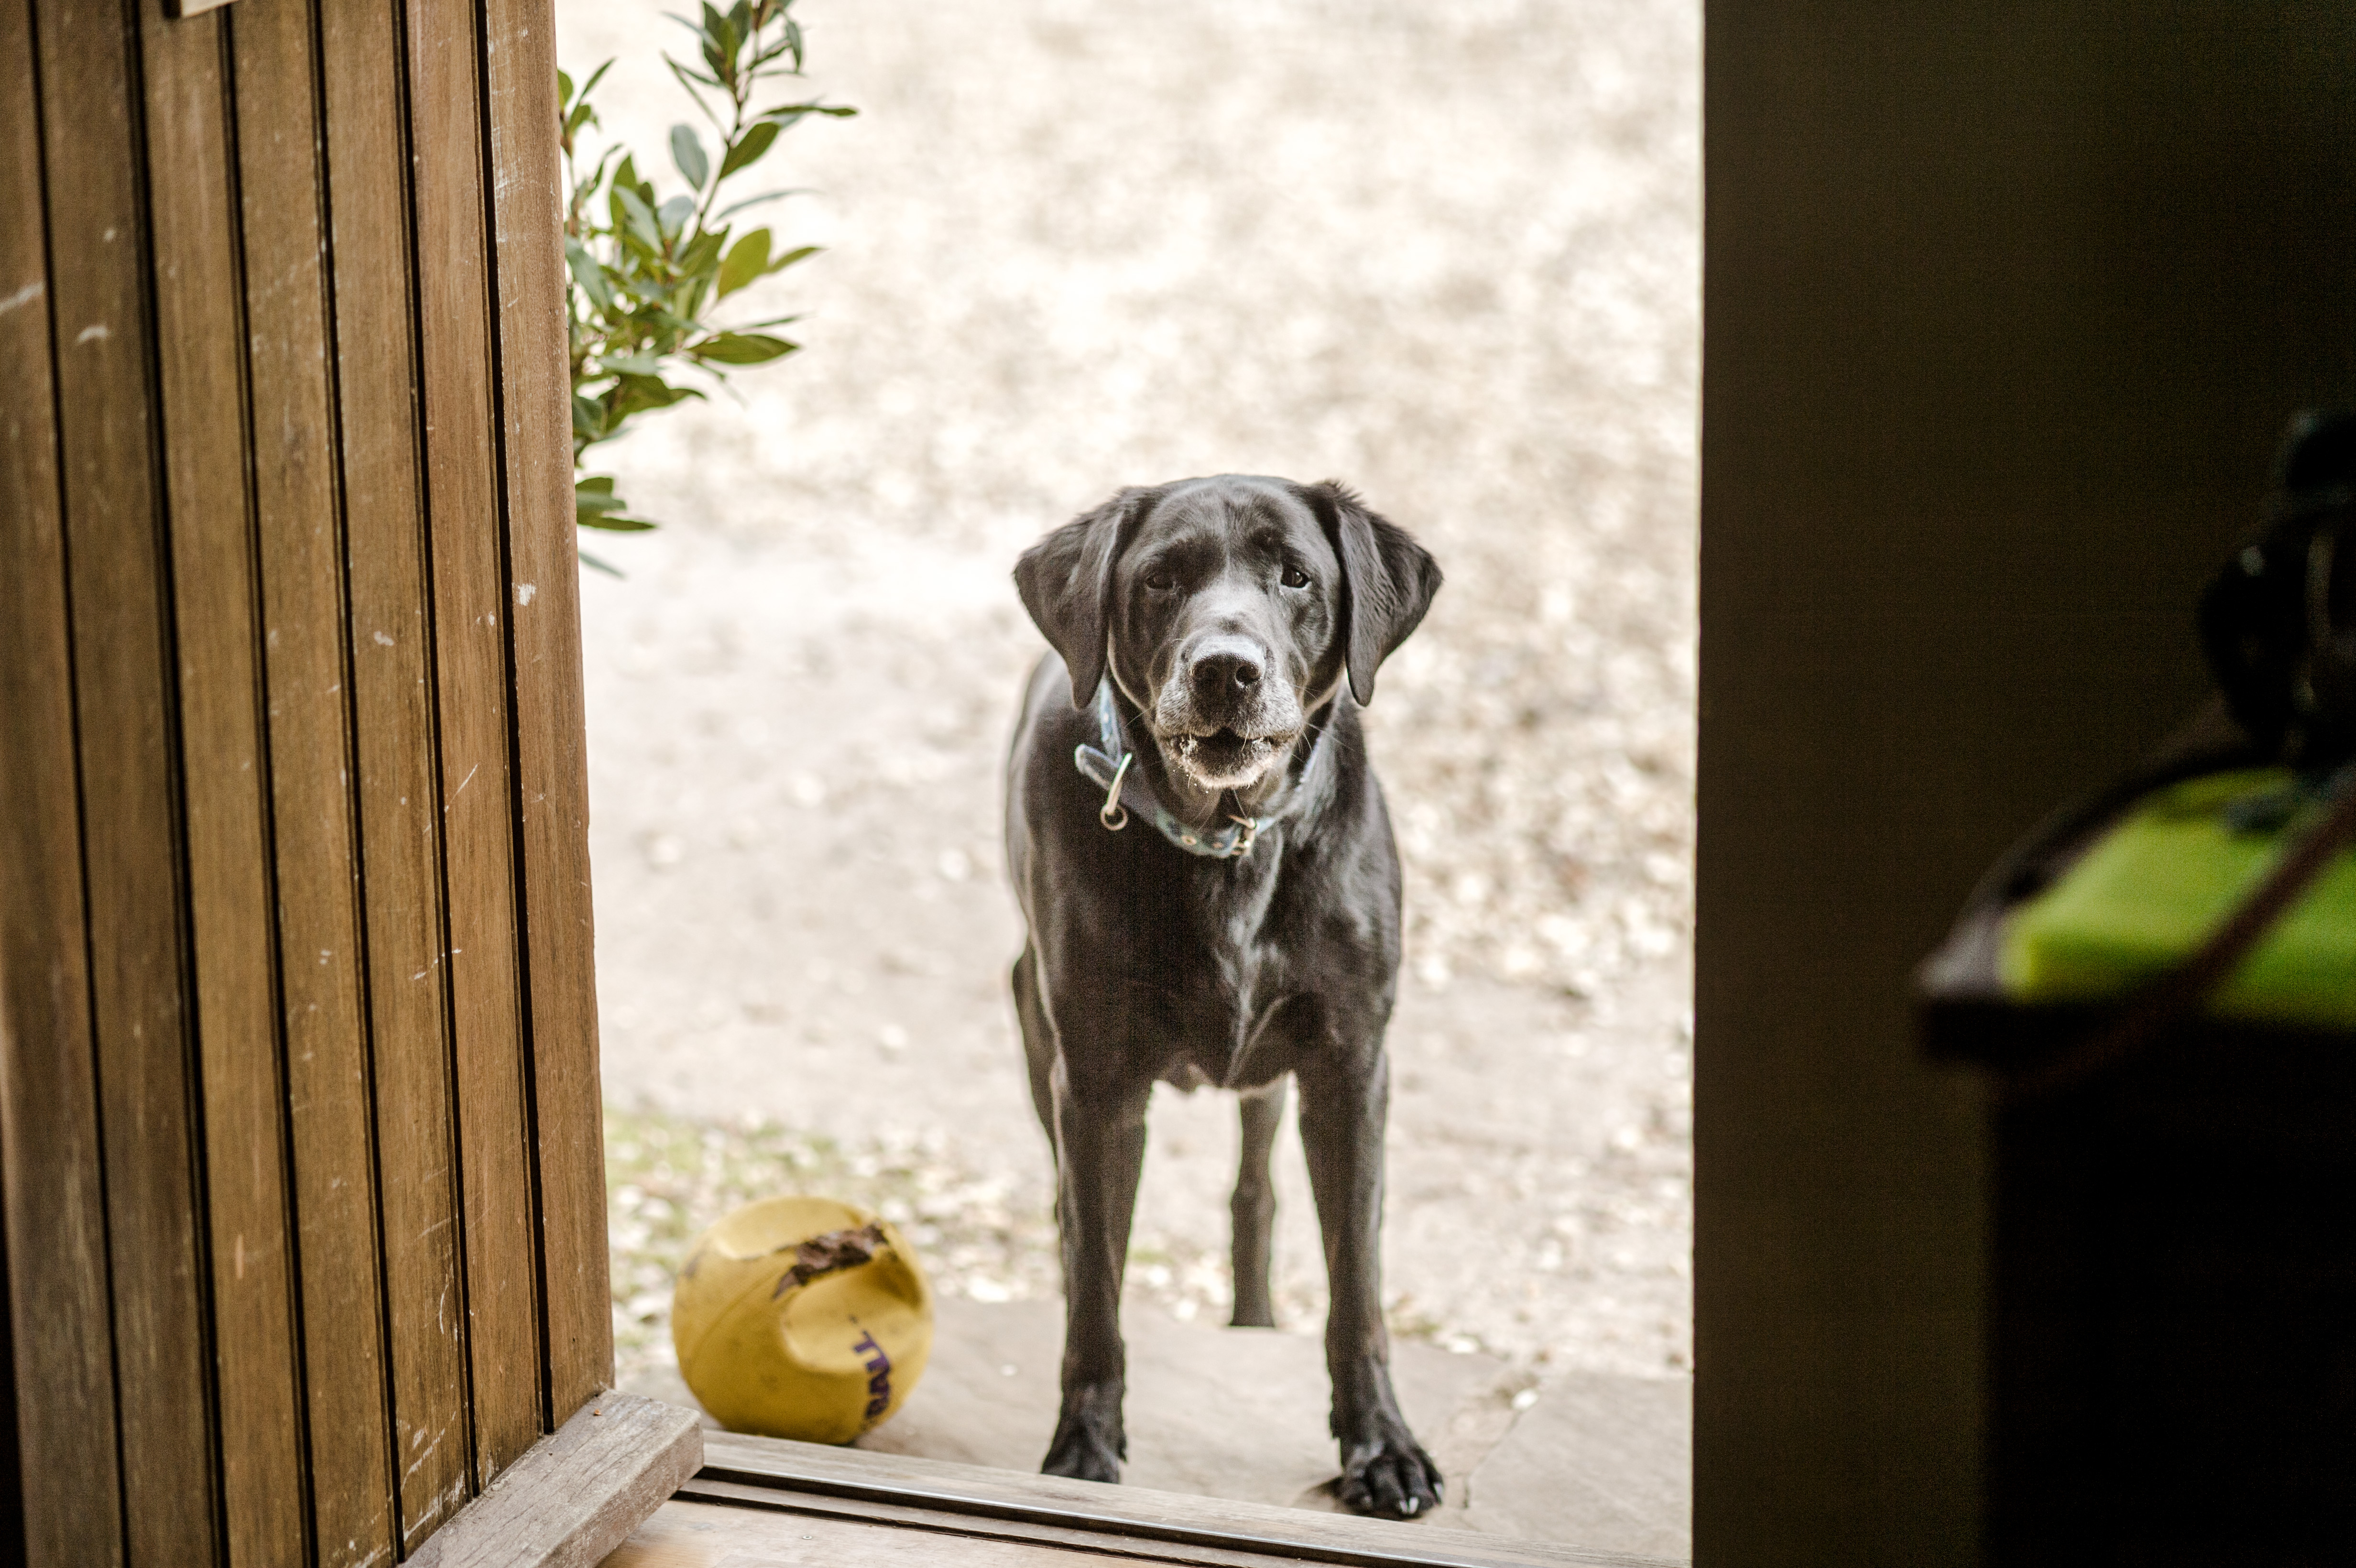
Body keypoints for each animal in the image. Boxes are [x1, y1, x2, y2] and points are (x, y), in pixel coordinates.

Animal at [1003, 473, 1441, 1516]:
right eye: (1159, 578)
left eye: (1296, 576)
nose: (1225, 671)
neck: (1224, 844)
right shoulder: (1096, 1086)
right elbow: (1096, 1283)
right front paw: (1084, 1445)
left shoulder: (1350, 1068)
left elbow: (1357, 1285)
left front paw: (1382, 1446)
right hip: (1035, 1029)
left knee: (1257, 1190)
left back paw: (1254, 1314)